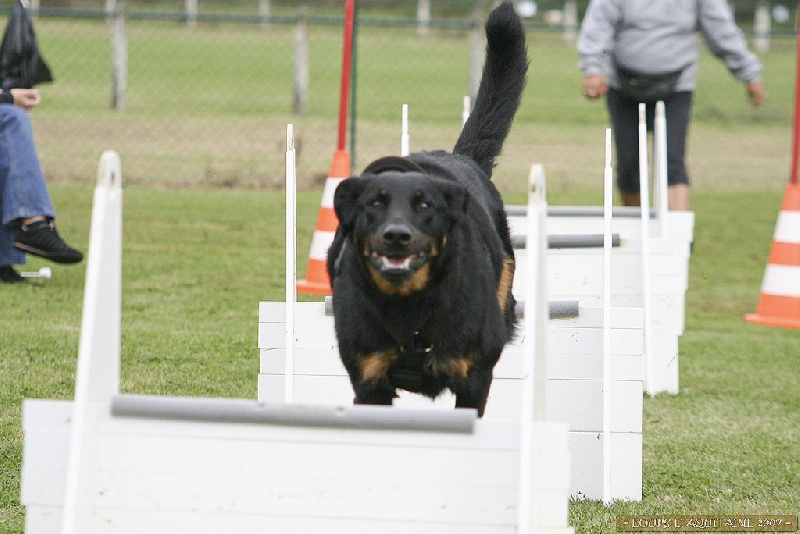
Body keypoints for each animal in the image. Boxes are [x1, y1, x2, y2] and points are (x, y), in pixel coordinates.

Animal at [324, 1, 524, 418]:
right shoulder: (369, 380)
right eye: (374, 204)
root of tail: (461, 157)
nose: (397, 236)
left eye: (425, 206)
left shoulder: (474, 378)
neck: (409, 306)